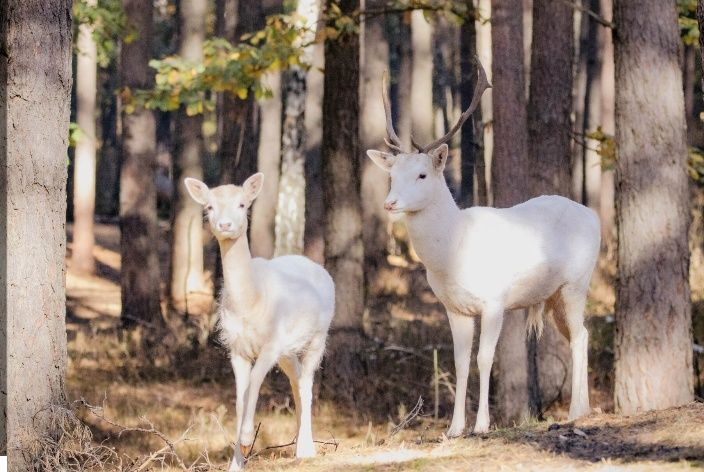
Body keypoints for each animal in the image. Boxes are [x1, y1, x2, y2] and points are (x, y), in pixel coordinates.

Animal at [183, 174, 334, 472]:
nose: (225, 225)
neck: (250, 302)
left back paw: (306, 450)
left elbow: (253, 383)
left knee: (308, 383)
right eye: (209, 207)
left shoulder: (270, 344)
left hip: (318, 337)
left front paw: (245, 442)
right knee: (297, 380)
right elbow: (239, 398)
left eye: (242, 204)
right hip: (288, 350)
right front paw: (235, 463)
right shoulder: (236, 348)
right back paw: (299, 446)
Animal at [368, 62, 600, 436]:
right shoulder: (453, 308)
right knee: (582, 333)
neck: (453, 253)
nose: (390, 203)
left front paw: (481, 425)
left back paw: (577, 410)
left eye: (422, 175)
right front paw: (453, 428)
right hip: (552, 296)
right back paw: (584, 406)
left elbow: (484, 358)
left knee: (580, 335)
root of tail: (594, 215)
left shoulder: (494, 301)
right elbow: (461, 362)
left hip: (577, 283)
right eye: (392, 175)